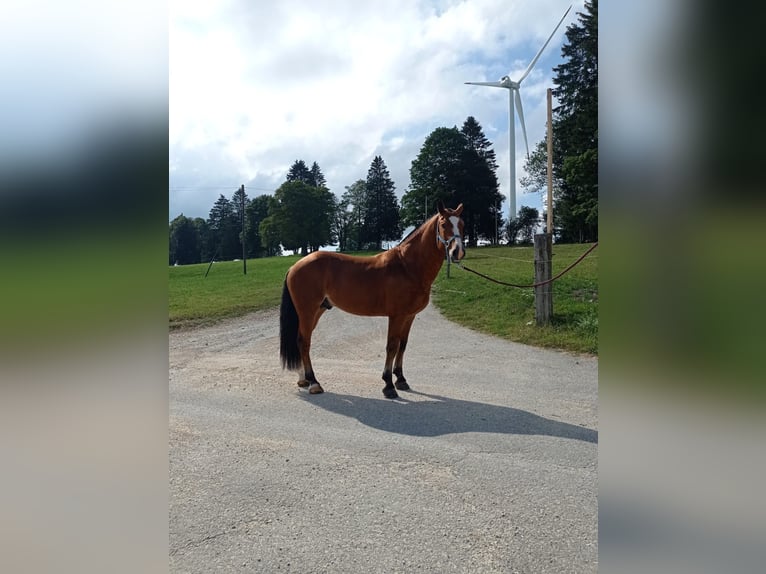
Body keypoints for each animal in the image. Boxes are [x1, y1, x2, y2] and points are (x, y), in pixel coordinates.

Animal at [280, 202, 464, 400]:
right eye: (444, 224)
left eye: (462, 224)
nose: (458, 252)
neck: (407, 267)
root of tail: (295, 266)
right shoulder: (397, 316)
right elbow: (392, 346)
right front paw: (388, 385)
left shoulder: (410, 316)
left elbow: (403, 345)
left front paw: (401, 379)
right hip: (308, 311)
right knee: (304, 341)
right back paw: (314, 382)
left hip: (316, 311)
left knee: (301, 340)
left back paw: (304, 379)